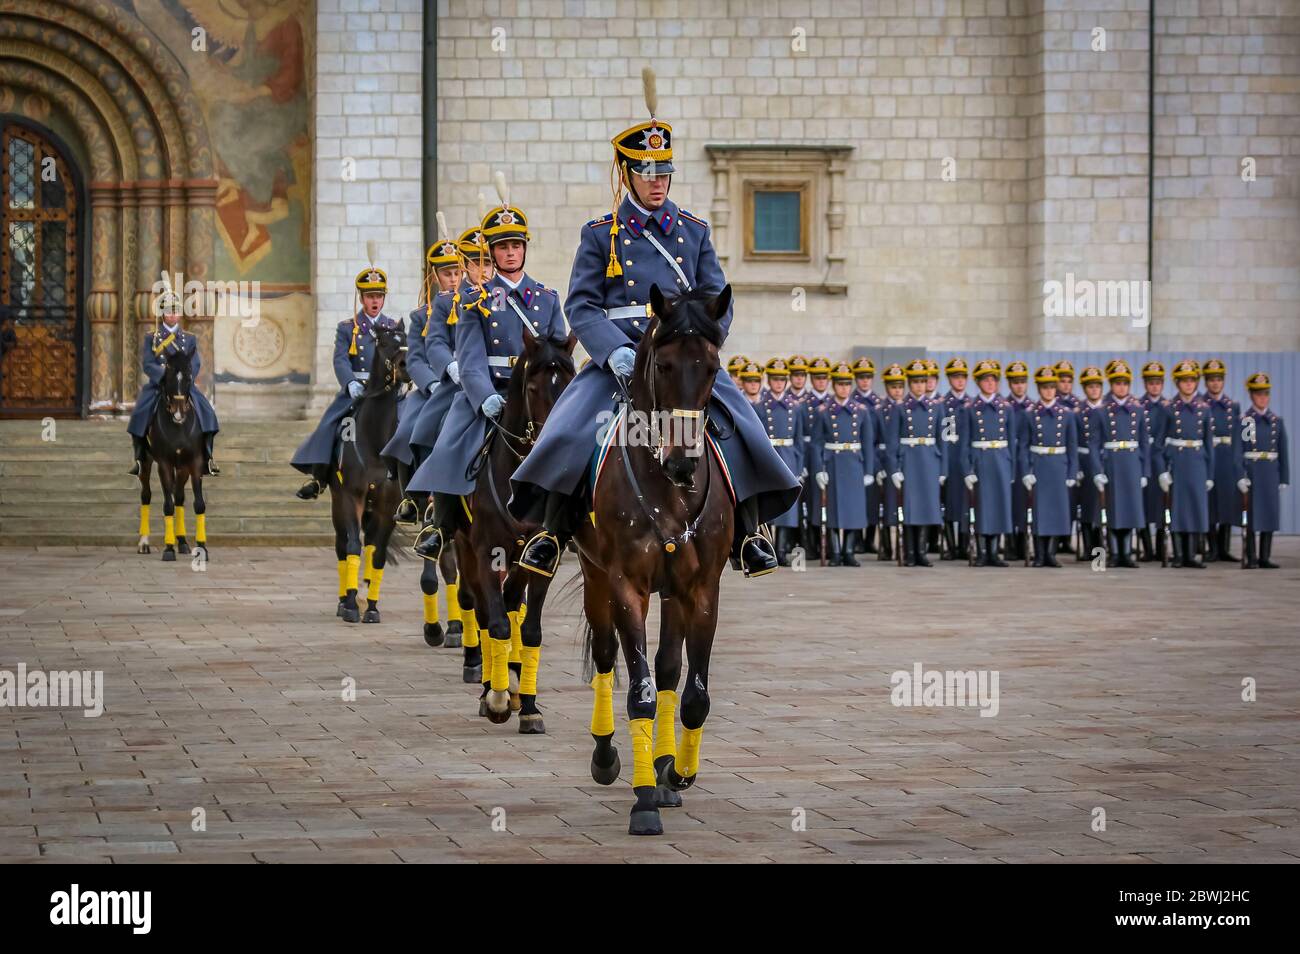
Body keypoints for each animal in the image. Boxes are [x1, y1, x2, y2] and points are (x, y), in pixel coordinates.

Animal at [135, 348, 209, 564]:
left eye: (189, 374)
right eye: (167, 372)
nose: (178, 411)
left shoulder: (195, 463)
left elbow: (198, 504)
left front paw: (201, 547)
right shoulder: (164, 464)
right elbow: (167, 505)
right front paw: (168, 549)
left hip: (183, 467)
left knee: (179, 498)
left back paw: (182, 542)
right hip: (146, 462)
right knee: (146, 495)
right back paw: (144, 542)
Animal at [460, 328, 577, 733]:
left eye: (571, 382)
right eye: (533, 388)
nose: (554, 444)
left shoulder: (542, 559)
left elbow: (529, 630)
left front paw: (528, 705)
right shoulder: (486, 553)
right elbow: (495, 624)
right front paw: (495, 698)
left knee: (512, 603)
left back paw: (510, 680)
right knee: (484, 611)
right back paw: (491, 688)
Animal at [577, 283, 738, 837]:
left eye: (712, 367)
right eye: (663, 366)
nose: (683, 464)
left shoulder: (702, 588)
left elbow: (693, 693)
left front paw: (678, 773)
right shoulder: (626, 585)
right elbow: (640, 691)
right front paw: (643, 799)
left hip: (672, 590)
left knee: (668, 668)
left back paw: (667, 768)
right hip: (595, 576)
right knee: (607, 657)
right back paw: (607, 756)